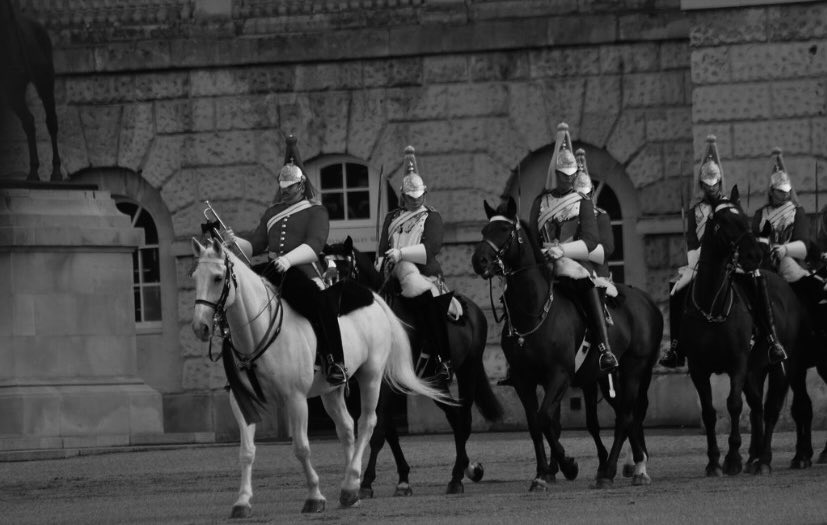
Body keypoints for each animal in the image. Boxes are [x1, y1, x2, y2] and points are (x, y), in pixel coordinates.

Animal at [0, 0, 61, 181]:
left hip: (44, 81)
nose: (16, 68)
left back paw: (55, 172)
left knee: (51, 122)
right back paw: (33, 172)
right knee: (28, 121)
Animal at [190, 237, 452, 516]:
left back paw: (352, 483)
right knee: (347, 428)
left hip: (371, 376)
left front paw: (314, 496)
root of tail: (371, 295)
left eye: (218, 278)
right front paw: (242, 501)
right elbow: (246, 451)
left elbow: (301, 448)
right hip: (331, 390)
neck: (255, 334)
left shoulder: (295, 399)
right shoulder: (241, 400)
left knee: (367, 423)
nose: (200, 327)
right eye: (195, 277)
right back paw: (352, 487)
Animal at [326, 236, 504, 496]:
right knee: (455, 417)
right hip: (435, 380)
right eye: (323, 269)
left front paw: (366, 483)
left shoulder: (387, 385)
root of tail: (471, 307)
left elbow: (379, 431)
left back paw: (457, 478)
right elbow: (388, 431)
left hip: (467, 370)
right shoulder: (374, 384)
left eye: (345, 269)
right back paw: (468, 469)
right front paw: (402, 479)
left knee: (464, 418)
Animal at [476, 196, 664, 488]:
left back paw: (611, 471)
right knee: (629, 415)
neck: (534, 312)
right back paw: (637, 465)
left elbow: (544, 418)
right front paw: (542, 473)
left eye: (505, 230)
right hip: (608, 376)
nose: (479, 260)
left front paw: (567, 465)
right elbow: (536, 424)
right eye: (484, 230)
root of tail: (648, 302)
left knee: (625, 416)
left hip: (633, 369)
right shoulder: (523, 381)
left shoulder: (560, 375)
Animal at [680, 186, 808, 476]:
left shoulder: (738, 364)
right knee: (758, 407)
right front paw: (714, 461)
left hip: (785, 365)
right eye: (722, 222)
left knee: (772, 409)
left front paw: (733, 458)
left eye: (745, 219)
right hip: (755, 369)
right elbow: (709, 412)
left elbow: (734, 405)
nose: (753, 257)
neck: (713, 306)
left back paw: (766, 459)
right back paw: (756, 458)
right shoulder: (698, 369)